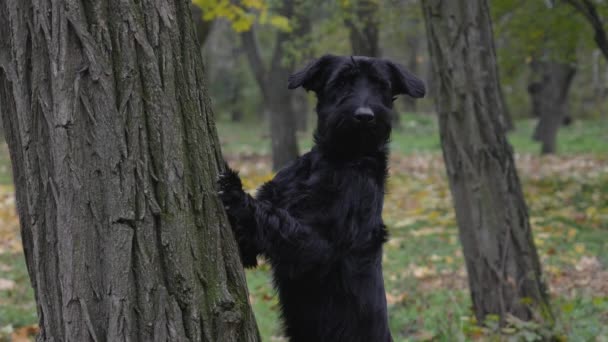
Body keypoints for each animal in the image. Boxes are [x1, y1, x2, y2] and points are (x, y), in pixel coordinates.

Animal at [217, 54, 422, 340]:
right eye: (341, 82)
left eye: (381, 85)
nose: (365, 116)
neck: (338, 159)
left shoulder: (318, 248)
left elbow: (280, 224)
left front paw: (237, 195)